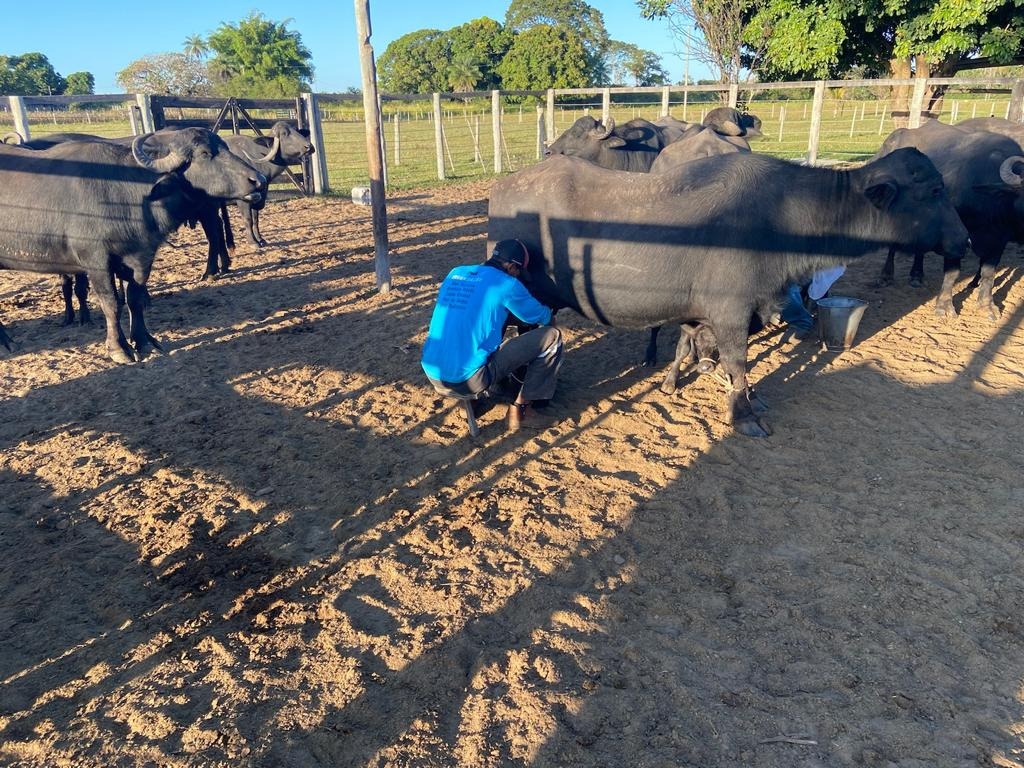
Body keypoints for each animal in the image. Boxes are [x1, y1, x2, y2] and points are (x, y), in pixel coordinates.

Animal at [0, 128, 268, 362]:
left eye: (225, 147)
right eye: (204, 153)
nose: (259, 180)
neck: (125, 193)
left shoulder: (139, 258)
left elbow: (135, 299)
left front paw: (144, 341)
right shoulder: (95, 261)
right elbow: (111, 303)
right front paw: (119, 349)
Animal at [487, 148, 966, 438]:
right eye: (934, 190)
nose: (964, 239)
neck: (782, 216)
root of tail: (504, 189)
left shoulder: (713, 311)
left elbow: (692, 349)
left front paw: (683, 383)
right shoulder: (733, 313)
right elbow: (738, 364)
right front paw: (744, 413)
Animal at [872, 122, 1024, 319]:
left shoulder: (999, 240)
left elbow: (988, 273)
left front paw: (987, 306)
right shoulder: (955, 237)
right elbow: (953, 272)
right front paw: (944, 306)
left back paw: (916, 275)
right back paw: (886, 276)